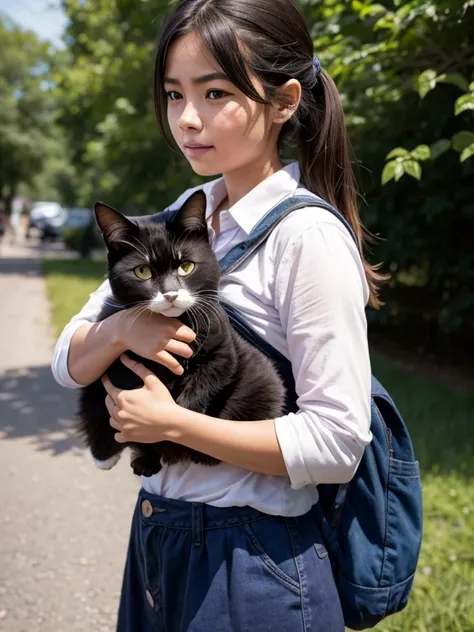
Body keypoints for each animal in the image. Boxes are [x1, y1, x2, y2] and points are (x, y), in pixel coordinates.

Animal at [78, 190, 286, 476]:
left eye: (186, 266)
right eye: (142, 271)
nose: (171, 294)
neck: (176, 322)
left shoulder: (223, 349)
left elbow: (205, 382)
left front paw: (175, 421)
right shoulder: (120, 357)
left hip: (261, 382)